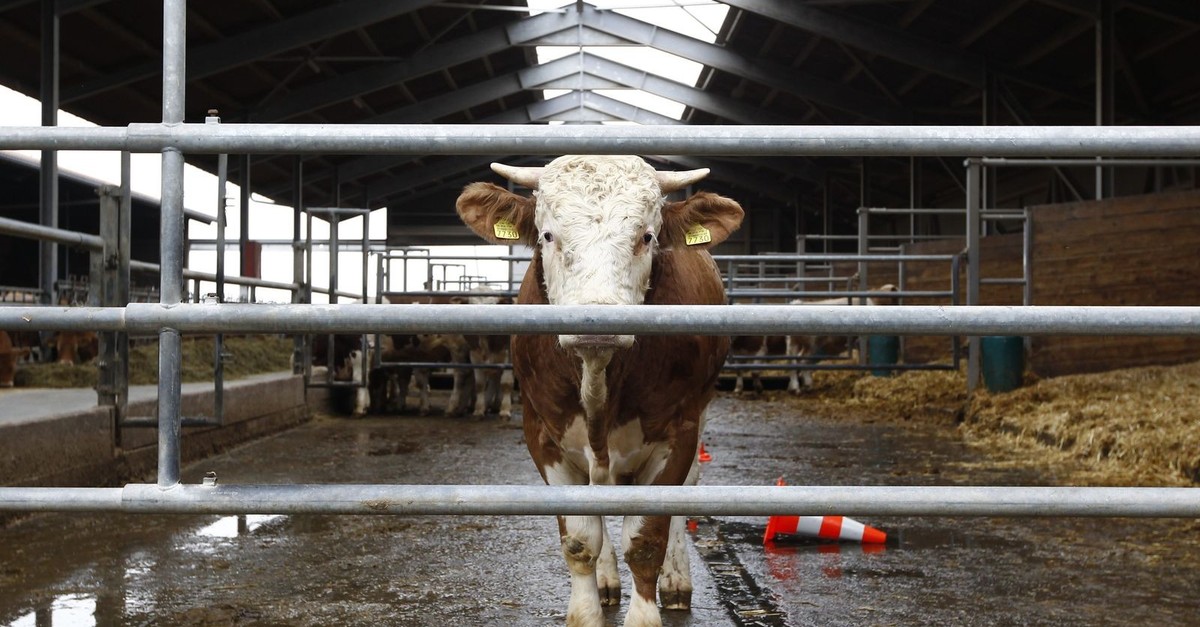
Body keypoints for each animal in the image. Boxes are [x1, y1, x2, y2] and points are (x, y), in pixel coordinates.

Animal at [456, 155, 743, 627]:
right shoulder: (542, 435)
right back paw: (608, 582)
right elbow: (579, 540)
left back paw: (676, 582)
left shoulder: (677, 434)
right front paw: (587, 609)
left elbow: (647, 541)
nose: (597, 321)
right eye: (549, 235)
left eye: (646, 237)